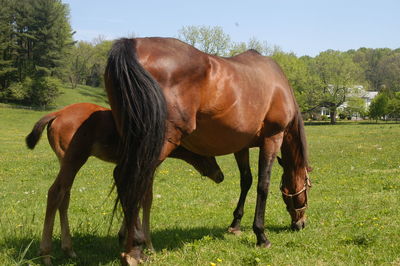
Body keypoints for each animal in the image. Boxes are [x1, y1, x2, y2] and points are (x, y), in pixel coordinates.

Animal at [26, 102, 223, 266]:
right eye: (209, 153)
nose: (220, 175)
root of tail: (57, 113)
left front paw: (124, 236)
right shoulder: (148, 168)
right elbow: (146, 200)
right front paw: (148, 245)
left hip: (65, 160)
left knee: (64, 197)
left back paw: (69, 249)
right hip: (74, 158)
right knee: (55, 192)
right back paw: (46, 254)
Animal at [105, 37, 312, 264]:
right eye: (308, 188)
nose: (300, 224)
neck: (278, 85)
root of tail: (132, 43)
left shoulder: (241, 146)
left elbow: (246, 181)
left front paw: (235, 225)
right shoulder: (272, 138)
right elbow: (262, 186)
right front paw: (261, 235)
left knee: (132, 184)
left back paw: (130, 242)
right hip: (160, 142)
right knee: (128, 179)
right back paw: (135, 248)